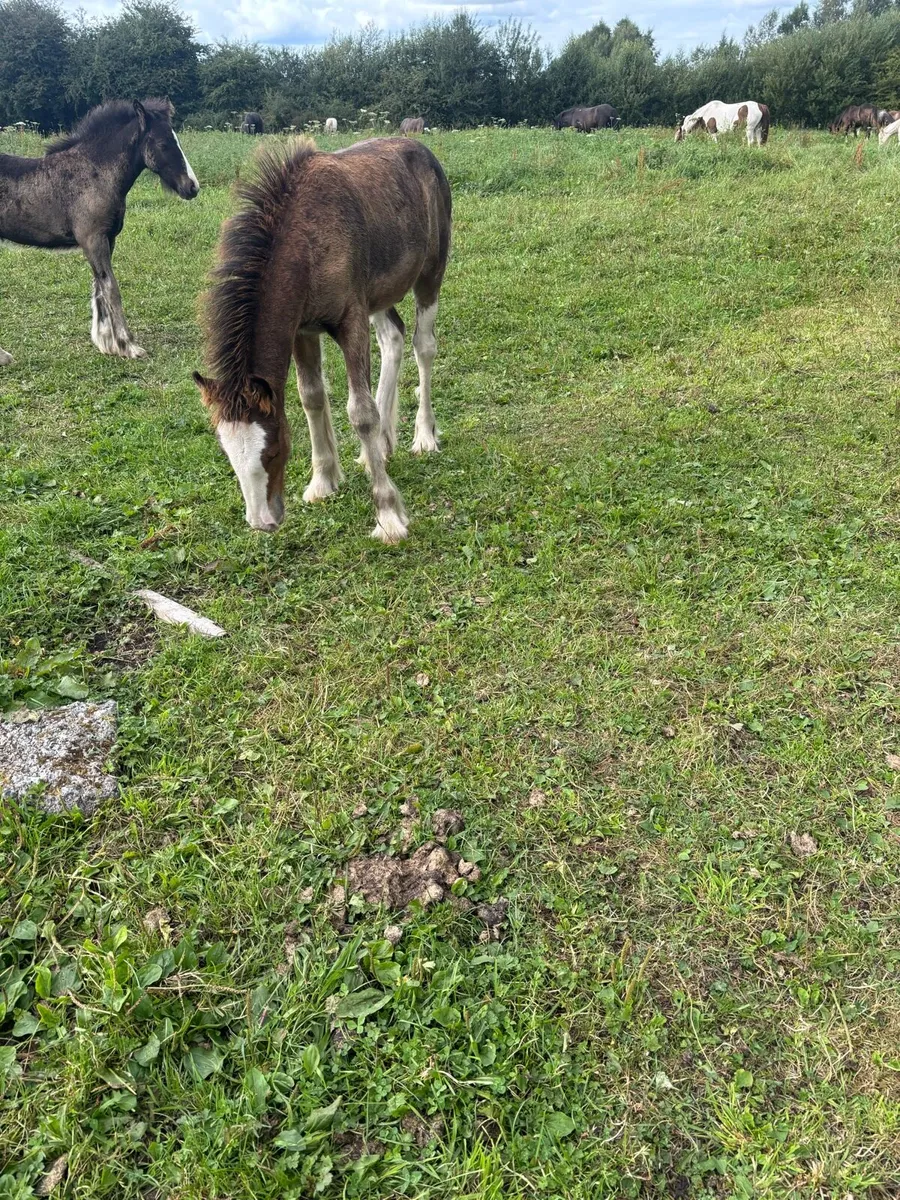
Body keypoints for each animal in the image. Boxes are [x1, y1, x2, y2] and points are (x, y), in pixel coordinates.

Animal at [0, 98, 199, 366]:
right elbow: (111, 288)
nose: (192, 187)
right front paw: (128, 345)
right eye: (163, 143)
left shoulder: (106, 239)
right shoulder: (92, 239)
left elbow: (99, 287)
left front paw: (107, 343)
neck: (95, 171)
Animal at [193, 137, 452, 544]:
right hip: (379, 295)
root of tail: (421, 149)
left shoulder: (351, 321)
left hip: (430, 273)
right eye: (228, 455)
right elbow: (311, 397)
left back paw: (423, 437)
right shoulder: (302, 329)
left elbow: (361, 413)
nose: (261, 521)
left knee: (423, 346)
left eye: (272, 451)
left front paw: (388, 516)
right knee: (392, 338)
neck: (308, 244)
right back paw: (380, 446)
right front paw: (323, 481)